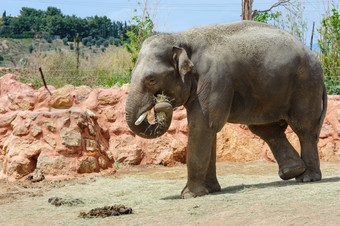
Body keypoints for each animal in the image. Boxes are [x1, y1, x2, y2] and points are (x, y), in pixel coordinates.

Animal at [124, 20, 326, 198]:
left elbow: (202, 126)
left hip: (305, 86)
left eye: (151, 79)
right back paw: (292, 172)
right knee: (267, 129)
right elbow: (209, 130)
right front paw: (211, 190)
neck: (181, 37)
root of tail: (315, 57)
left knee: (303, 129)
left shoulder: (213, 78)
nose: (161, 102)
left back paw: (307, 178)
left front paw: (189, 195)